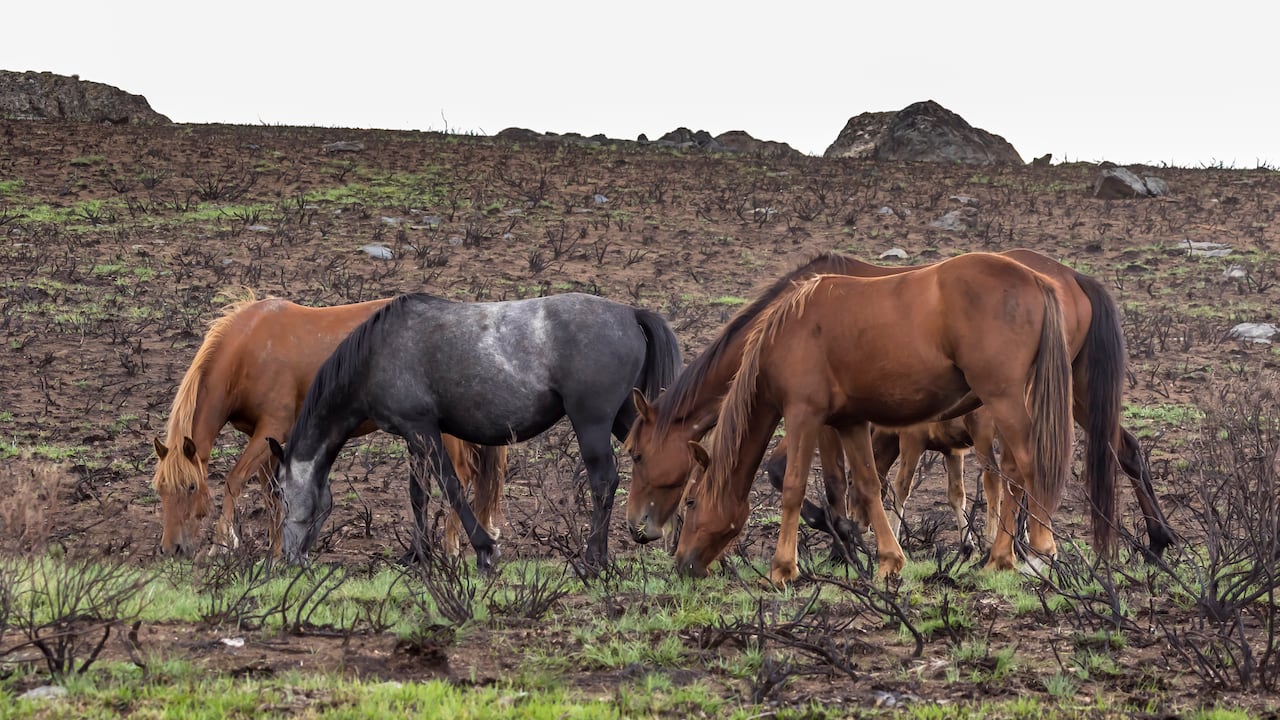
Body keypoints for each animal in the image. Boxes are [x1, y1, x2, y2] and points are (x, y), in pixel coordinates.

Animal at [151, 292, 507, 557]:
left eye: (191, 487)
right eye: (161, 490)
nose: (171, 549)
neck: (249, 353)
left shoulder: (271, 429)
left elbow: (234, 481)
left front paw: (223, 543)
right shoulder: (264, 438)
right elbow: (271, 494)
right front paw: (276, 549)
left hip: (444, 434)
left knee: (461, 476)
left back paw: (451, 546)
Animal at [270, 292, 682, 570]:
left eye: (282, 496)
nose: (290, 558)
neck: (376, 353)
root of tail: (630, 313)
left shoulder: (423, 430)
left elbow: (450, 485)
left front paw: (484, 549)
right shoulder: (412, 437)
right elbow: (418, 494)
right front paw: (417, 554)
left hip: (592, 422)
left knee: (603, 482)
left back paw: (593, 558)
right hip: (626, 418)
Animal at [625, 249, 1173, 562]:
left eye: (635, 453)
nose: (638, 529)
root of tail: (1064, 278)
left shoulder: (816, 416)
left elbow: (800, 477)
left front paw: (844, 539)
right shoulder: (846, 419)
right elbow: (849, 482)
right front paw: (853, 542)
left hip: (1020, 396)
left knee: (1025, 465)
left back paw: (1018, 549)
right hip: (1073, 392)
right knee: (1122, 449)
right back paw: (1156, 539)